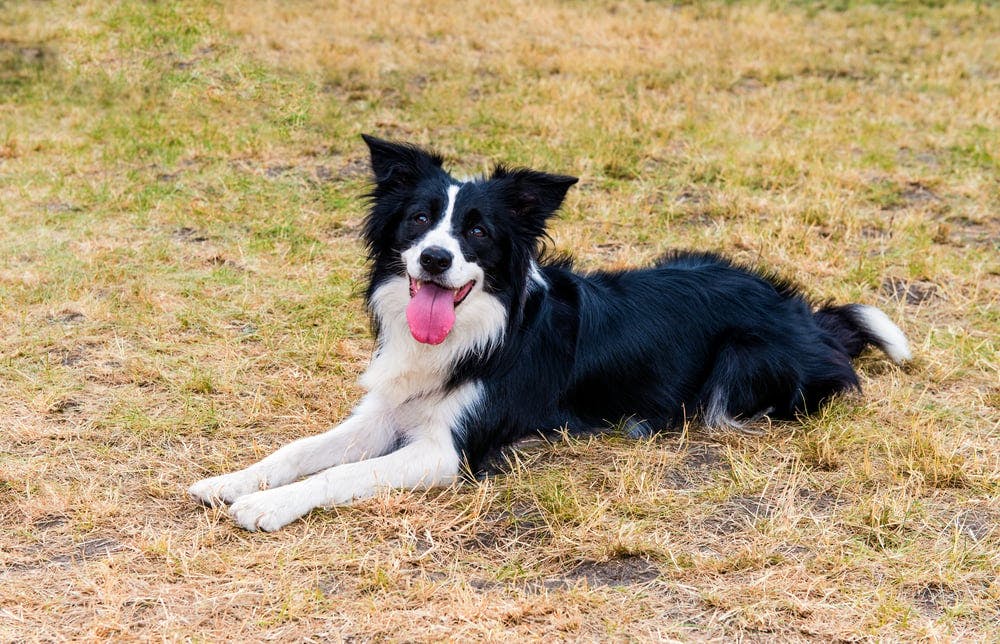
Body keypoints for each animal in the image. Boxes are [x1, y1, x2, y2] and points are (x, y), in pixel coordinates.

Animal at [184, 133, 912, 532]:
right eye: (419, 219)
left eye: (478, 230)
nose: (435, 259)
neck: (474, 330)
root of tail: (806, 314)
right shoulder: (385, 413)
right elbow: (302, 450)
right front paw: (233, 481)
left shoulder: (445, 452)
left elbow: (342, 476)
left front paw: (268, 507)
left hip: (739, 368)